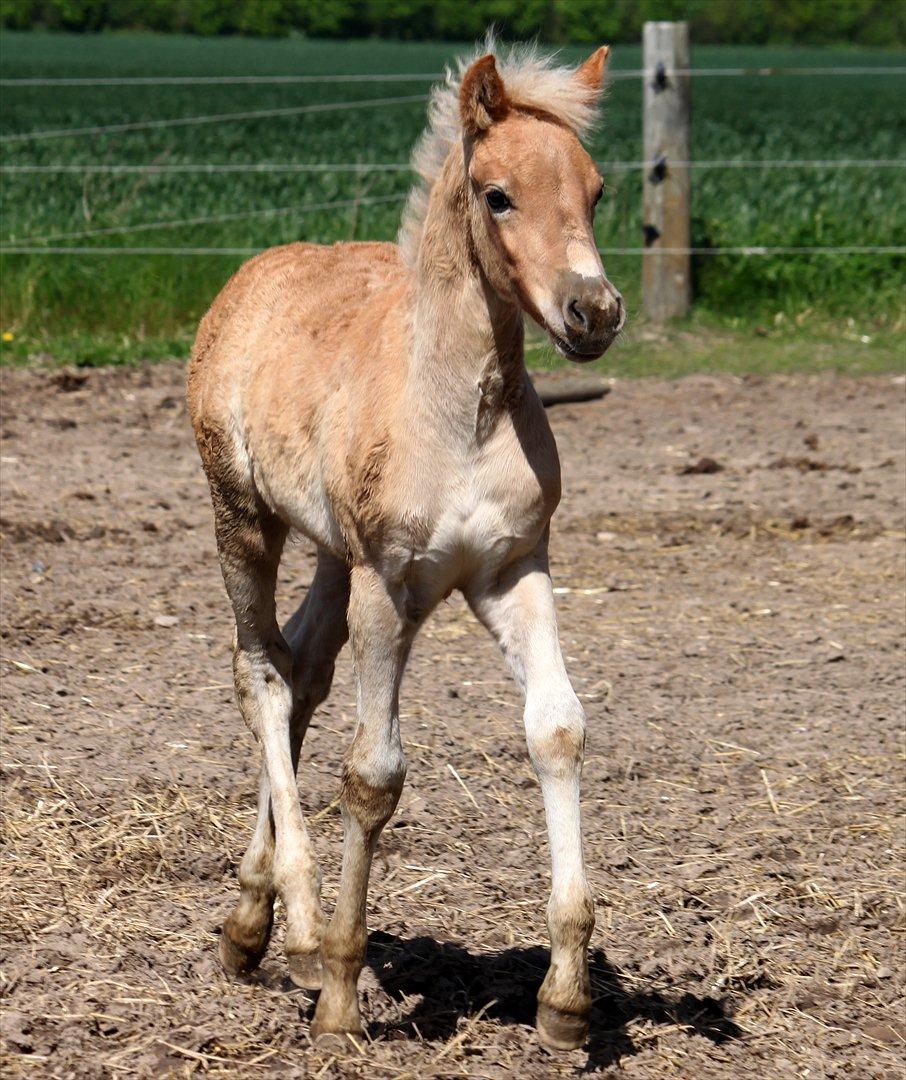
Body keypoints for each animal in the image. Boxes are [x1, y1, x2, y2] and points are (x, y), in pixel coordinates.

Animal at [184, 42, 621, 1045]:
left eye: (597, 190)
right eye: (498, 195)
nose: (594, 311)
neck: (461, 412)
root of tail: (250, 276)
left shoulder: (514, 569)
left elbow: (558, 729)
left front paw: (565, 999)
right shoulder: (390, 582)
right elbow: (374, 773)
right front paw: (343, 993)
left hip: (330, 551)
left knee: (302, 672)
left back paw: (251, 920)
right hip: (244, 518)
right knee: (260, 674)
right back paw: (302, 932)